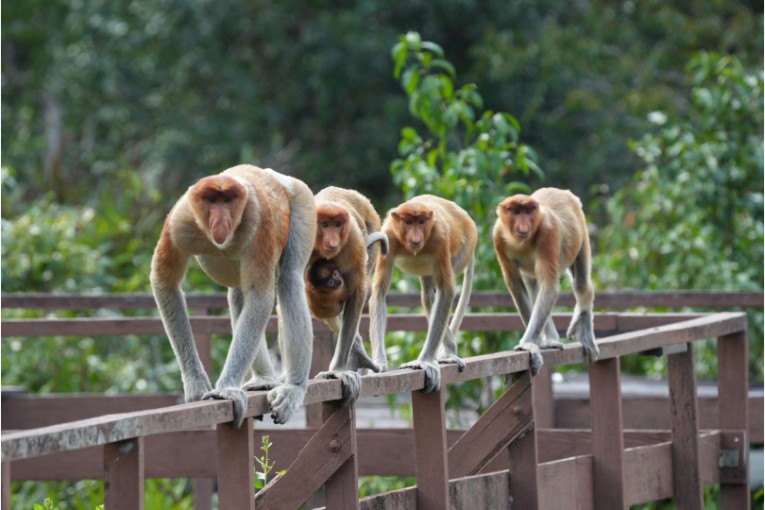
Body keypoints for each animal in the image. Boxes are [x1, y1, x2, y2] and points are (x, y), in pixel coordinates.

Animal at [149, 164, 316, 426]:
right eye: (212, 200)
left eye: (228, 201)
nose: (221, 221)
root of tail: (274, 175)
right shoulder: (179, 222)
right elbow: (166, 282)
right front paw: (196, 385)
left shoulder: (260, 223)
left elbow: (260, 296)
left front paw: (225, 390)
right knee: (239, 294)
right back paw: (263, 379)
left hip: (301, 200)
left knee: (289, 280)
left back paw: (293, 388)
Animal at [306, 186, 388, 402]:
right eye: (325, 225)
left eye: (337, 225)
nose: (333, 240)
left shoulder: (352, 241)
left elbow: (356, 293)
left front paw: (338, 371)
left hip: (371, 228)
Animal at [368, 194, 474, 390]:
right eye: (409, 222)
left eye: (422, 222)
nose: (416, 238)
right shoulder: (390, 236)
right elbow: (379, 292)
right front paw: (379, 363)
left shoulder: (439, 237)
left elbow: (446, 290)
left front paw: (424, 362)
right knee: (428, 298)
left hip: (465, 247)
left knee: (440, 292)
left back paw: (448, 353)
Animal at [492, 187, 600, 374]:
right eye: (516, 211)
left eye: (528, 211)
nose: (524, 226)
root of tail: (565, 192)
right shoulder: (498, 236)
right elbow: (515, 284)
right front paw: (535, 344)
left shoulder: (548, 231)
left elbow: (550, 285)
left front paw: (527, 344)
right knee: (536, 291)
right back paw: (550, 341)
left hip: (581, 233)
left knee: (581, 284)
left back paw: (584, 328)